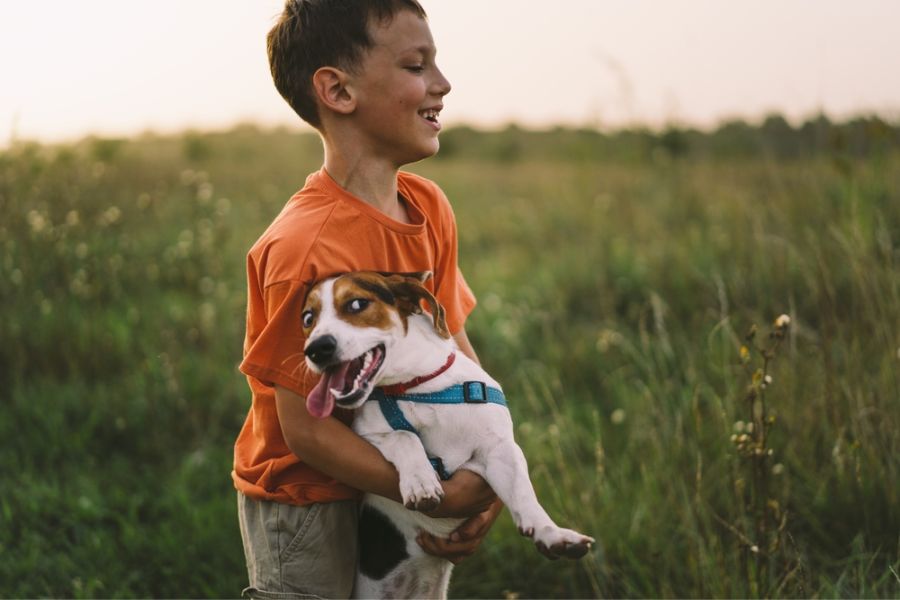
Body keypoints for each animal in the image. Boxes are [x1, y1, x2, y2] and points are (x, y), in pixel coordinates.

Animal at [302, 274, 596, 600]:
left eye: (357, 304)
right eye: (307, 319)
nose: (315, 349)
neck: (417, 387)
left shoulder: (498, 451)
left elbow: (523, 493)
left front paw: (553, 534)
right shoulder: (366, 434)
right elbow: (405, 436)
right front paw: (422, 482)